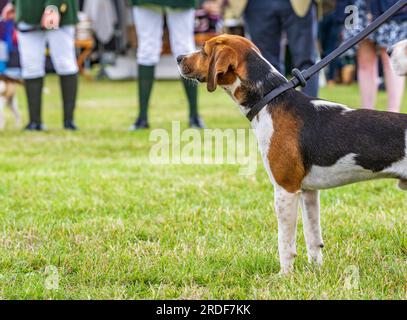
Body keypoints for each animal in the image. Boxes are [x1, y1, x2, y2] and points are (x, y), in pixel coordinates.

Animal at [178, 35, 407, 274]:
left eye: (204, 51)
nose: (178, 58)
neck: (269, 99)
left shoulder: (285, 190)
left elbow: (285, 243)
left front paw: (284, 275)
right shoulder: (308, 192)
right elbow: (313, 238)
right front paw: (315, 271)